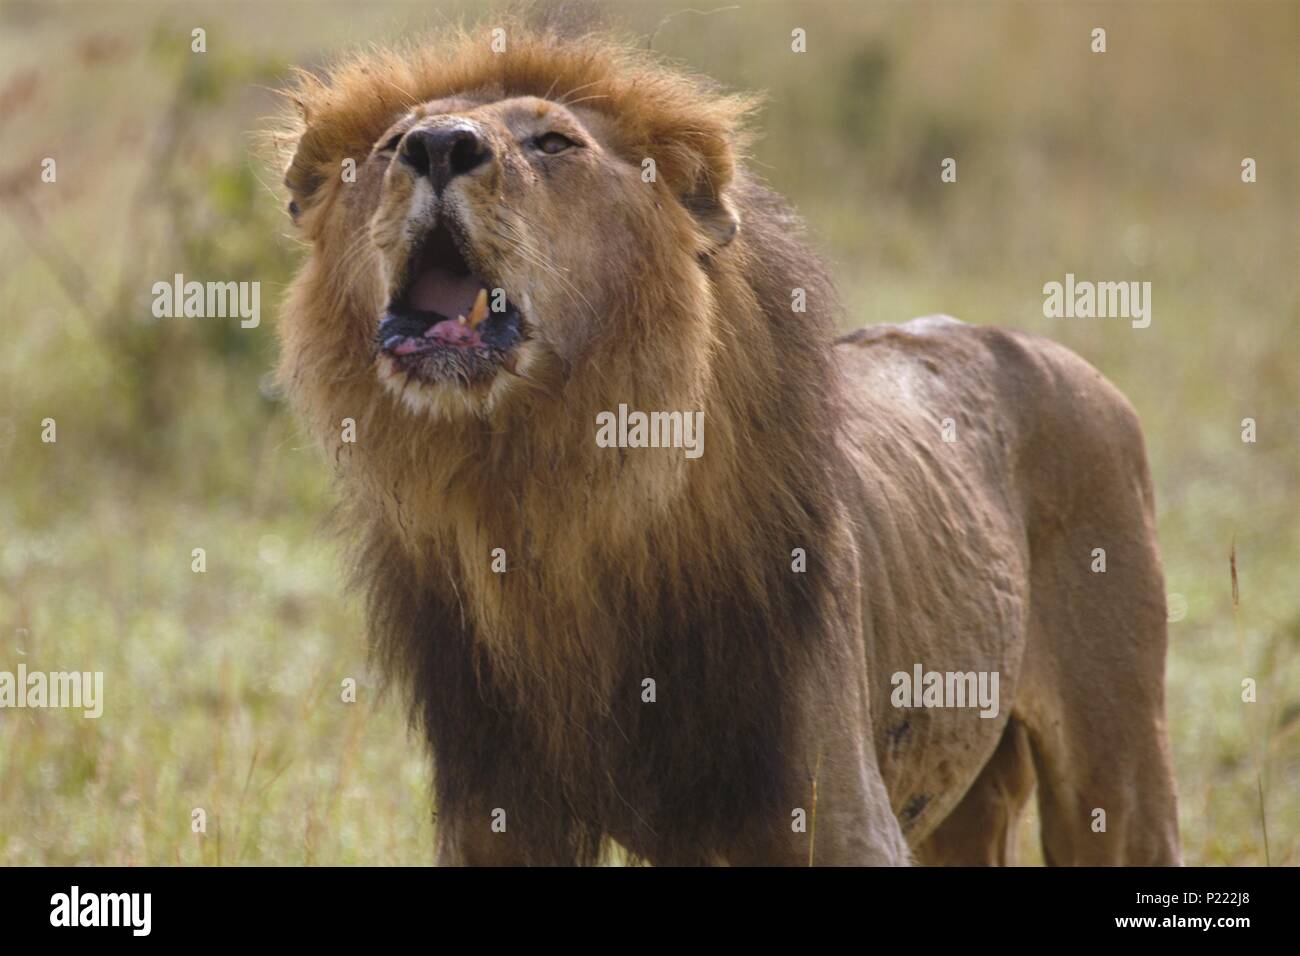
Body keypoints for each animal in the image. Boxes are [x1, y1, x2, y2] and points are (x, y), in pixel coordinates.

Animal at [275, 23, 1181, 865]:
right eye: (392, 144)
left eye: (554, 143)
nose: (436, 146)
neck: (546, 500)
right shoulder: (496, 818)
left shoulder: (839, 816)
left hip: (1117, 763)